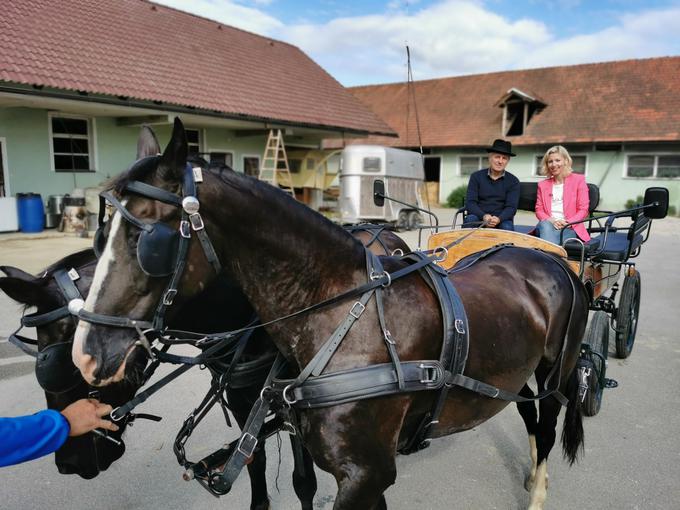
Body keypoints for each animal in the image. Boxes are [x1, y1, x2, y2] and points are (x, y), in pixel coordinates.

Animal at [70, 117, 588, 508]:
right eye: (99, 238)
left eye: (148, 241)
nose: (87, 355)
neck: (340, 316)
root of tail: (552, 259)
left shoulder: (365, 474)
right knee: (526, 411)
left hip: (557, 373)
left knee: (547, 424)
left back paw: (538, 490)